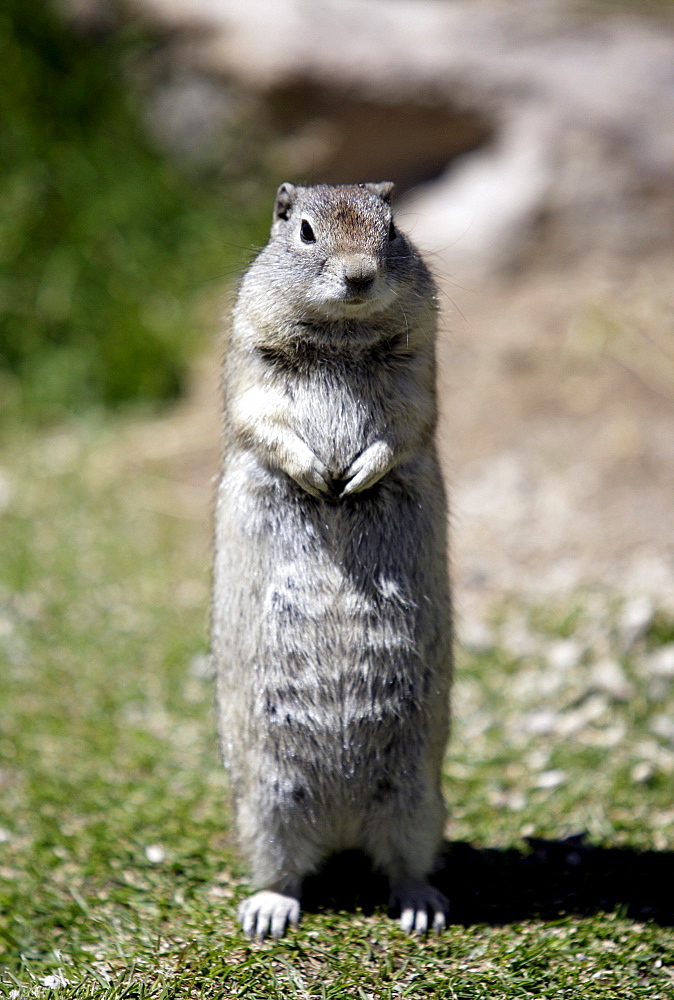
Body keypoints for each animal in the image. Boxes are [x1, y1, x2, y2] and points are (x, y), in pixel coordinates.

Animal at [210, 180, 452, 936]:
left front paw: (357, 475)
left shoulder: (418, 375)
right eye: (307, 232)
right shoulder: (251, 365)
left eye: (392, 227)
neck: (343, 338)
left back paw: (421, 905)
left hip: (418, 800)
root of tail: (344, 828)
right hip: (266, 804)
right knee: (284, 869)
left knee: (405, 860)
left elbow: (405, 428)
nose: (359, 276)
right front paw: (320, 477)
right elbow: (262, 421)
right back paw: (269, 909)